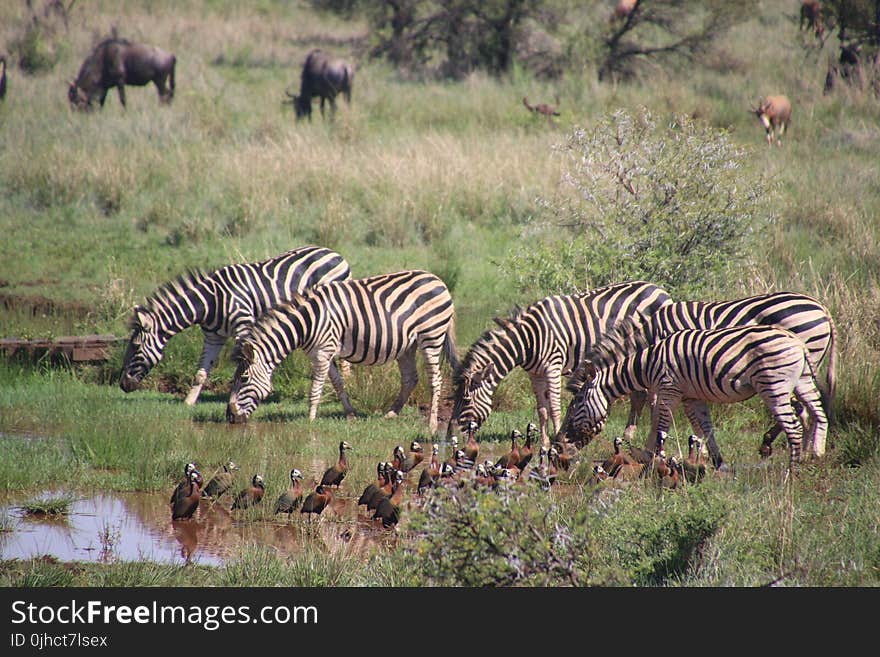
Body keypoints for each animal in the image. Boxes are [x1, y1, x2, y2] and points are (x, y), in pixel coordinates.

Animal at [119, 245, 350, 402]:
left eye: (136, 347)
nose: (122, 385)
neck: (211, 302)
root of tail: (334, 253)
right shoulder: (213, 337)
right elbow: (201, 373)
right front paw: (188, 402)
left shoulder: (243, 326)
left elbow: (243, 363)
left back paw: (349, 381)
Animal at [225, 270, 460, 434]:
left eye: (244, 379)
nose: (230, 417)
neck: (307, 322)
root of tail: (438, 280)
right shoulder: (323, 353)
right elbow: (338, 383)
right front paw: (350, 415)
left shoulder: (323, 352)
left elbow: (316, 388)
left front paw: (310, 420)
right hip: (407, 345)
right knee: (411, 378)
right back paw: (392, 414)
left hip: (431, 336)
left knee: (435, 379)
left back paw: (431, 424)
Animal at [450, 280, 672, 448]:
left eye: (467, 401)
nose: (451, 438)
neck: (528, 339)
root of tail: (660, 289)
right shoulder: (535, 373)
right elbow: (542, 409)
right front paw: (545, 442)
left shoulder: (553, 366)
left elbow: (555, 407)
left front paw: (557, 438)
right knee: (640, 395)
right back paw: (628, 437)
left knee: (654, 397)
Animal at [568, 320, 828, 468]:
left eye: (577, 402)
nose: (564, 441)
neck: (649, 363)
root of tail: (797, 341)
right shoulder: (692, 397)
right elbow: (705, 428)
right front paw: (716, 461)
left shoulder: (669, 389)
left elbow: (660, 425)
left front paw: (654, 457)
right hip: (802, 381)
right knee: (817, 413)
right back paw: (814, 454)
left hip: (774, 385)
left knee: (794, 427)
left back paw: (792, 470)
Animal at [608, 290, 836, 454]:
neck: (651, 335)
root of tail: (822, 308)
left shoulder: (675, 370)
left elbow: (659, 408)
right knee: (806, 407)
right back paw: (805, 449)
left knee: (801, 407)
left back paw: (780, 445)